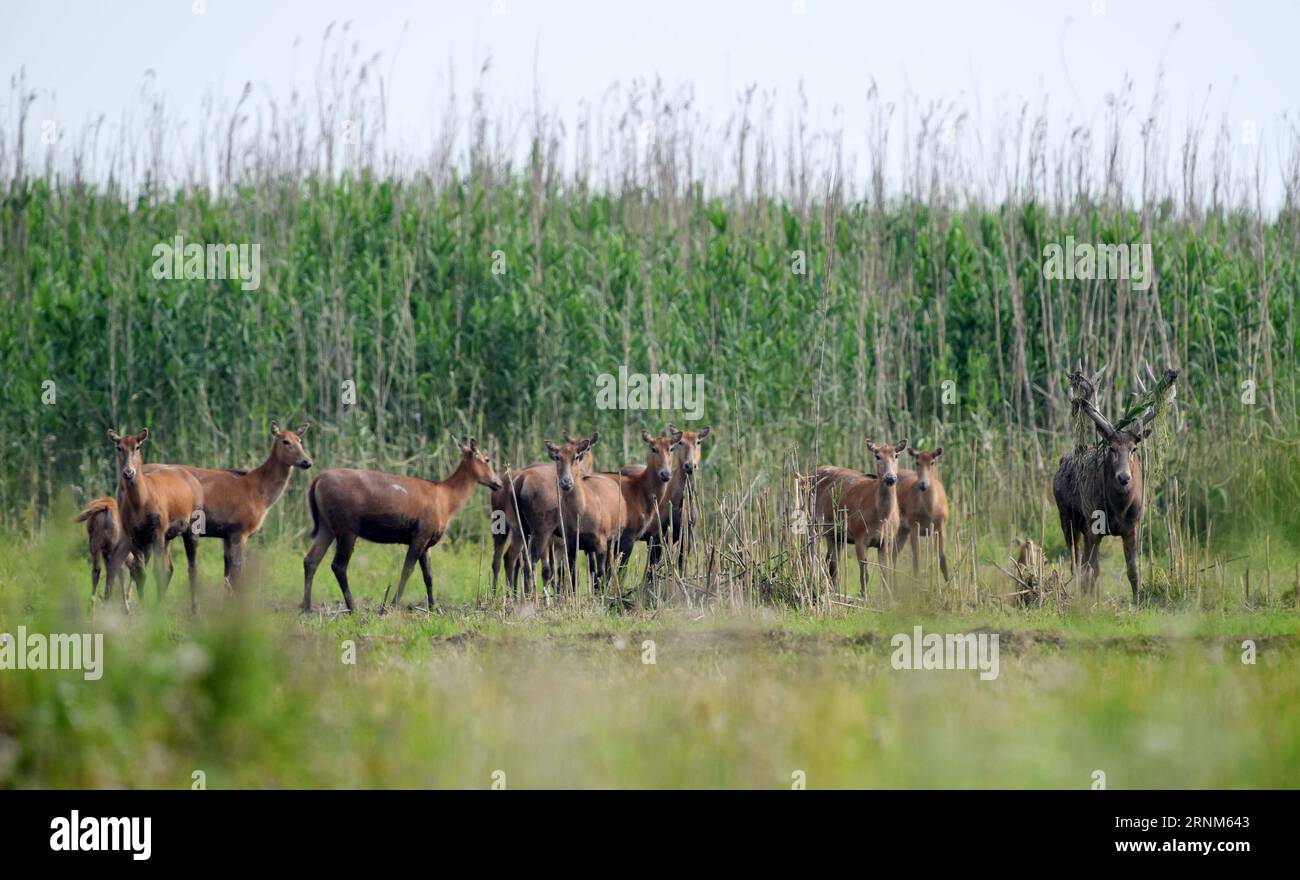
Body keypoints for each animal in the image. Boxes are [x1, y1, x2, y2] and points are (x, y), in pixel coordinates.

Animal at [105, 431, 204, 610]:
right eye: (119, 447)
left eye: (137, 446)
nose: (128, 473)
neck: (141, 502)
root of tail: (194, 480)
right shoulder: (134, 535)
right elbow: (141, 572)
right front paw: (145, 606)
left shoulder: (157, 530)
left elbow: (157, 571)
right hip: (167, 536)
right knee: (169, 568)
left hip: (192, 527)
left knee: (192, 567)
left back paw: (194, 608)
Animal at [145, 421, 314, 590]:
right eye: (285, 441)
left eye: (300, 440)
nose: (307, 462)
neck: (259, 492)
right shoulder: (240, 529)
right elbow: (238, 575)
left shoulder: (227, 534)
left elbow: (227, 577)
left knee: (165, 569)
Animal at [304, 434, 501, 610]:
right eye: (487, 459)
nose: (498, 483)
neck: (447, 500)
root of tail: (317, 481)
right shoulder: (421, 533)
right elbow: (407, 570)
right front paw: (393, 604)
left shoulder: (427, 541)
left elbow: (429, 575)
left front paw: (433, 607)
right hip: (347, 527)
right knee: (338, 566)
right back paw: (352, 607)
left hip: (326, 526)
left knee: (310, 560)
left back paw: (307, 607)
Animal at [806, 439, 909, 597]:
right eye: (877, 456)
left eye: (896, 455)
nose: (890, 478)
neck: (881, 518)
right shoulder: (859, 536)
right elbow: (864, 573)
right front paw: (864, 596)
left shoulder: (887, 541)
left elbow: (885, 573)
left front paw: (888, 598)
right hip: (810, 520)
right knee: (813, 555)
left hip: (835, 534)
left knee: (831, 561)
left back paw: (835, 591)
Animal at [899, 447, 951, 577]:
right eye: (917, 462)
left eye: (932, 462)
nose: (923, 484)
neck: (931, 510)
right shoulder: (914, 526)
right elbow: (916, 559)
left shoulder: (941, 527)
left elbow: (942, 557)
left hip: (903, 530)